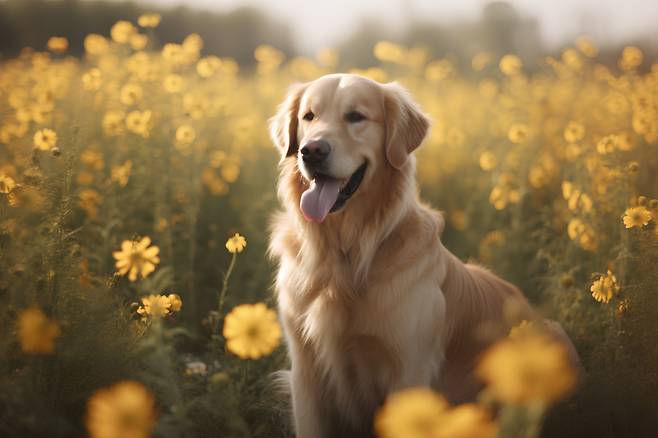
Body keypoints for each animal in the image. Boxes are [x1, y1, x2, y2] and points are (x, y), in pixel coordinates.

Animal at [266, 75, 564, 438]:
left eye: (356, 117)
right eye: (309, 116)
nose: (311, 151)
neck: (347, 254)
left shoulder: (409, 370)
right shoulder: (305, 371)